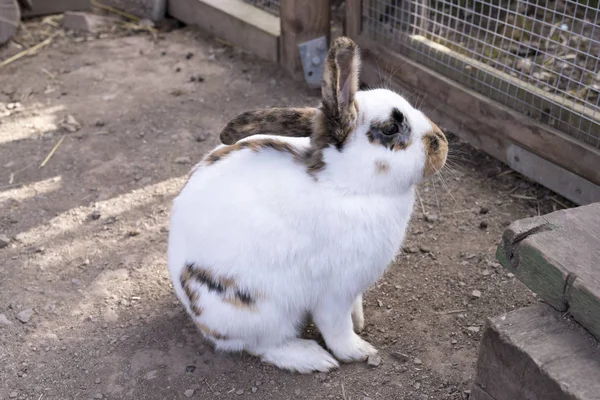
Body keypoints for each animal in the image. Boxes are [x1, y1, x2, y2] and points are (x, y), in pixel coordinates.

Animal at [166, 36, 448, 374]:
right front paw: (358, 350)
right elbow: (337, 329)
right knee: (264, 345)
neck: (347, 185)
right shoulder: (335, 291)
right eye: (391, 129)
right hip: (262, 311)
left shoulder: (352, 289)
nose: (442, 142)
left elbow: (353, 311)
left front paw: (360, 321)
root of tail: (196, 315)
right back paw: (312, 358)